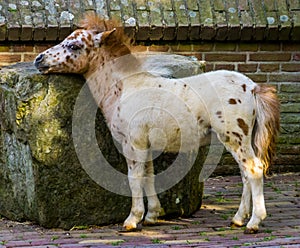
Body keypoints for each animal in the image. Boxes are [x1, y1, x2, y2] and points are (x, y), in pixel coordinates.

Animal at [34, 14, 280, 233]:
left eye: (74, 45)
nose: (39, 60)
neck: (125, 87)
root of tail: (253, 88)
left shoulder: (133, 144)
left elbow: (134, 179)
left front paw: (132, 220)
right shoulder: (147, 145)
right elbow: (149, 176)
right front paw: (152, 215)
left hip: (234, 137)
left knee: (254, 170)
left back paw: (253, 223)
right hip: (243, 140)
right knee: (245, 174)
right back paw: (238, 219)